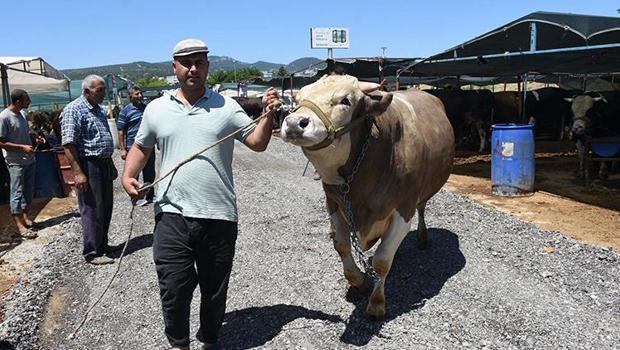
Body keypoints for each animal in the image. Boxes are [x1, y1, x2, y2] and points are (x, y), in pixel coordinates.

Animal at [278, 76, 452, 318]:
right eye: (298, 99)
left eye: (346, 100)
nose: (294, 123)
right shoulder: (334, 203)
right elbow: (341, 245)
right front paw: (359, 282)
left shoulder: (403, 209)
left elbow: (382, 260)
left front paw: (377, 303)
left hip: (422, 193)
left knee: (422, 208)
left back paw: (423, 238)